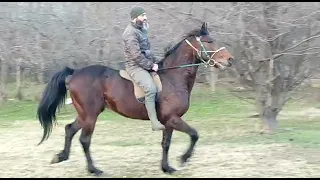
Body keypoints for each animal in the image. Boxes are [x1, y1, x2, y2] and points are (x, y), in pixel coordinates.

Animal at [37, 22, 235, 176]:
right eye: (209, 42)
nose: (230, 60)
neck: (173, 77)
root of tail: (74, 73)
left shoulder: (168, 122)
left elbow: (166, 144)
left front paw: (167, 167)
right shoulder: (173, 118)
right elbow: (194, 134)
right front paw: (183, 159)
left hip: (85, 115)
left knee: (70, 129)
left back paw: (61, 157)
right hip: (91, 115)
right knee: (85, 140)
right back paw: (95, 170)